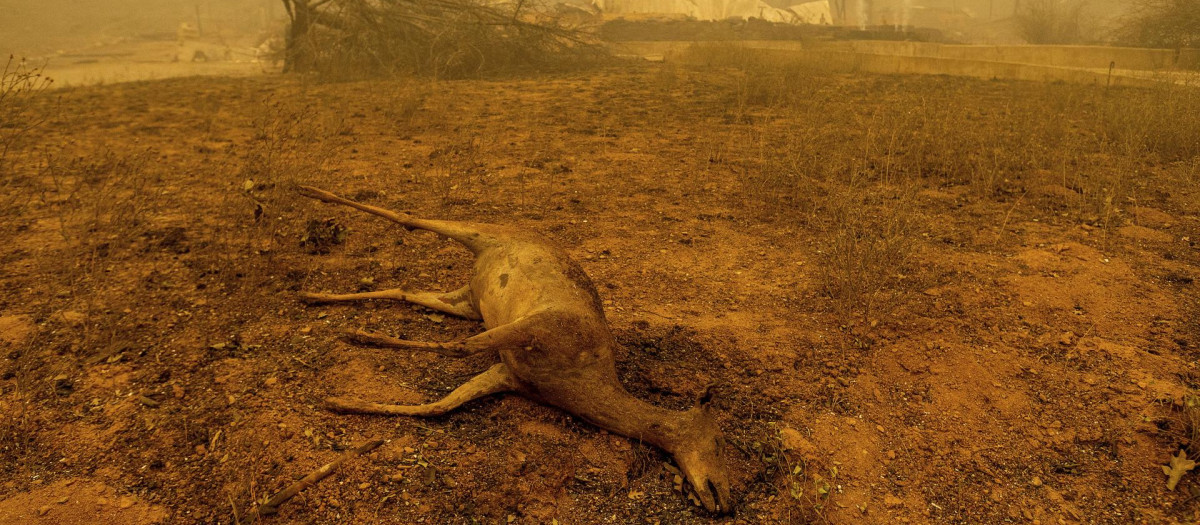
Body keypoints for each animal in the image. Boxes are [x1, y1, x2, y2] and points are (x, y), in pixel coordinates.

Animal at [294, 186, 732, 514]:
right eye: (718, 441)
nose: (726, 501)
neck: (583, 384)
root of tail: (478, 266)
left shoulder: (508, 374)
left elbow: (436, 407)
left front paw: (337, 400)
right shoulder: (539, 325)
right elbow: (457, 348)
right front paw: (358, 337)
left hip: (467, 302)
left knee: (405, 290)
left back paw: (313, 295)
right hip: (484, 234)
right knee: (410, 218)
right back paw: (308, 193)